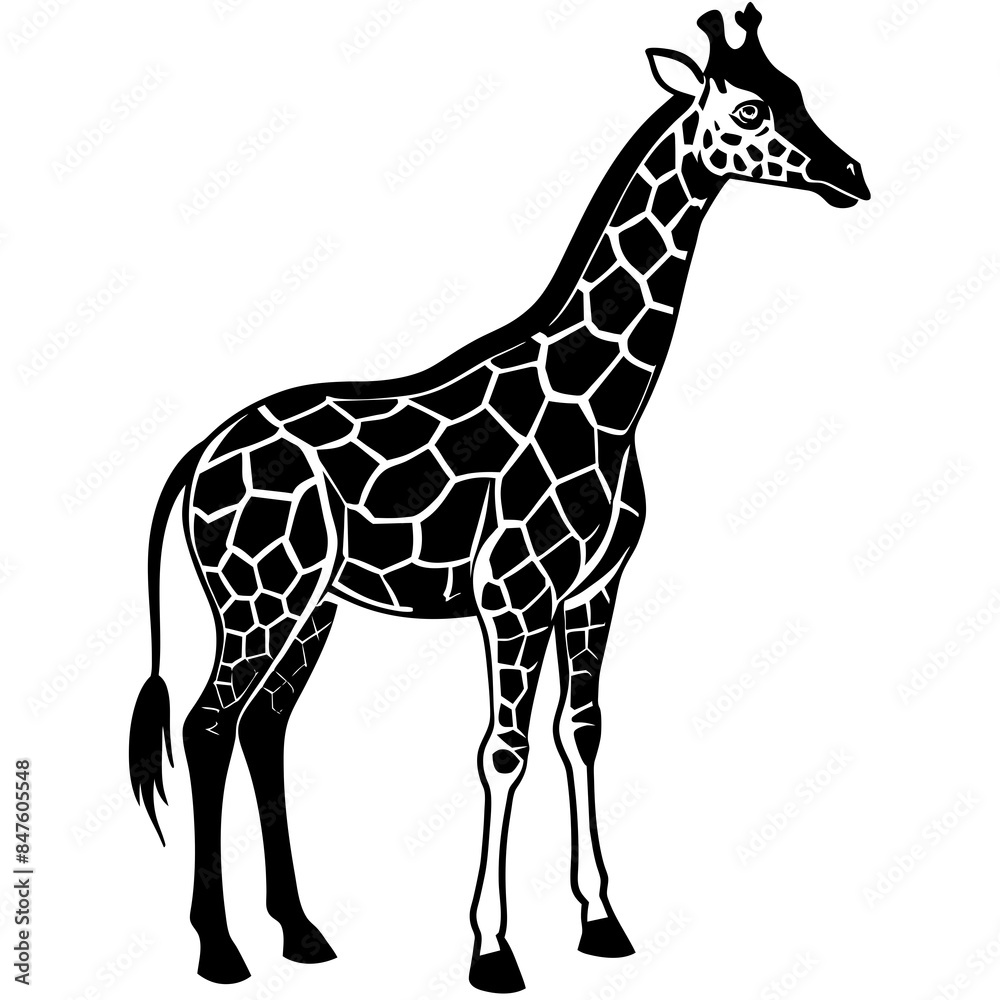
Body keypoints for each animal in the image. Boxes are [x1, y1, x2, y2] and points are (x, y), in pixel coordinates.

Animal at [129, 5, 869, 992]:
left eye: (797, 91)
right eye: (749, 109)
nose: (851, 176)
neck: (606, 402)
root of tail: (201, 453)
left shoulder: (594, 590)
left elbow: (582, 730)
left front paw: (603, 922)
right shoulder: (512, 594)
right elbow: (503, 751)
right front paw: (493, 950)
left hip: (312, 605)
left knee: (265, 728)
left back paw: (302, 932)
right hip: (258, 595)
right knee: (208, 726)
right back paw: (219, 949)